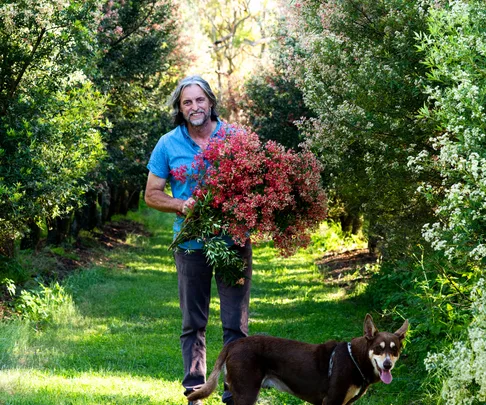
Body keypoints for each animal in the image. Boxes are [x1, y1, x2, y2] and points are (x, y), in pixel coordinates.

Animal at [188, 312, 408, 404]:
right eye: (378, 349)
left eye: (394, 350)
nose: (387, 365)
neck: (356, 359)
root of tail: (234, 344)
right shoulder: (331, 401)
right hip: (246, 393)